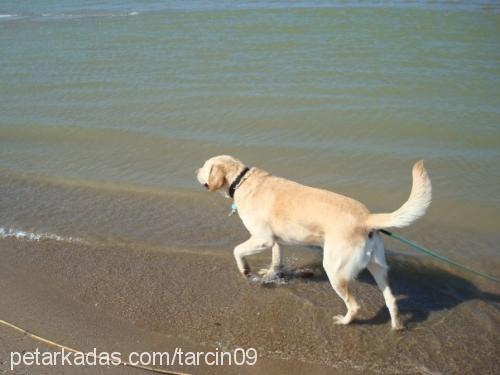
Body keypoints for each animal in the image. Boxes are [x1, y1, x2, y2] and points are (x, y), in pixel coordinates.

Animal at [197, 154, 432, 330]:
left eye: (205, 166)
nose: (195, 171)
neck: (242, 181)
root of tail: (367, 218)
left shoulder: (262, 239)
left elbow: (237, 250)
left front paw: (246, 270)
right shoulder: (276, 241)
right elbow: (276, 260)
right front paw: (271, 274)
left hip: (335, 270)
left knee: (355, 305)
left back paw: (344, 321)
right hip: (377, 267)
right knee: (391, 299)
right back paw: (396, 326)